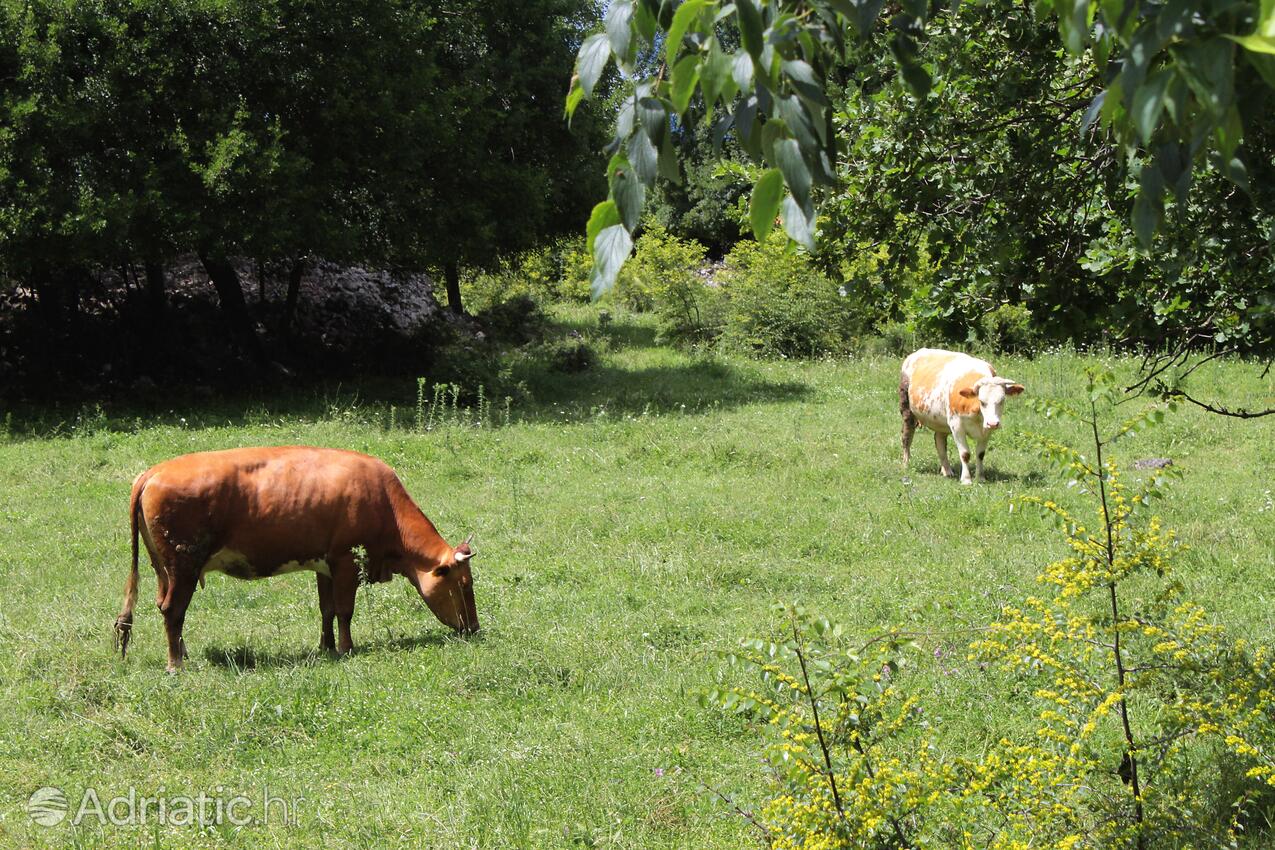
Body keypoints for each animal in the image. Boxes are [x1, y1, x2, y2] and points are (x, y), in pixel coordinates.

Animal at [116, 446, 479, 672]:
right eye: (464, 584)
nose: (474, 629)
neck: (383, 502)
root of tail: (152, 472)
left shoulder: (325, 564)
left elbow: (327, 609)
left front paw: (326, 647)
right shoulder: (346, 562)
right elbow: (345, 610)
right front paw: (347, 648)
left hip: (163, 568)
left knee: (165, 606)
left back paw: (184, 653)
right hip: (184, 566)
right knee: (172, 610)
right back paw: (175, 664)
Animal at [897, 349, 1025, 484]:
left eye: (1002, 400)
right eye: (982, 401)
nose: (993, 423)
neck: (978, 416)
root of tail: (918, 352)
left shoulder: (986, 430)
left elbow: (981, 454)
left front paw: (981, 478)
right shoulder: (956, 426)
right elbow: (965, 454)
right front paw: (966, 479)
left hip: (941, 421)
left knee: (940, 441)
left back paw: (947, 470)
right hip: (907, 409)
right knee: (906, 437)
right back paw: (906, 464)